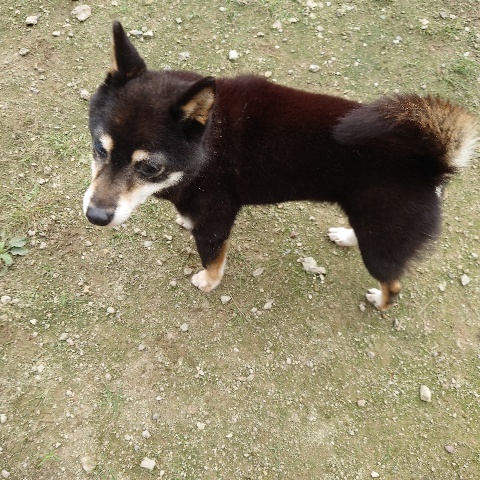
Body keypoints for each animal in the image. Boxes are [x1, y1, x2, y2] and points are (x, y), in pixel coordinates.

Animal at [83, 21, 478, 311]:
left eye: (149, 168)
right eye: (99, 149)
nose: (95, 216)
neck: (208, 141)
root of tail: (432, 162)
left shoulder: (215, 220)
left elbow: (212, 260)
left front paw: (207, 282)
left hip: (381, 244)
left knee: (392, 283)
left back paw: (378, 301)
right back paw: (347, 235)